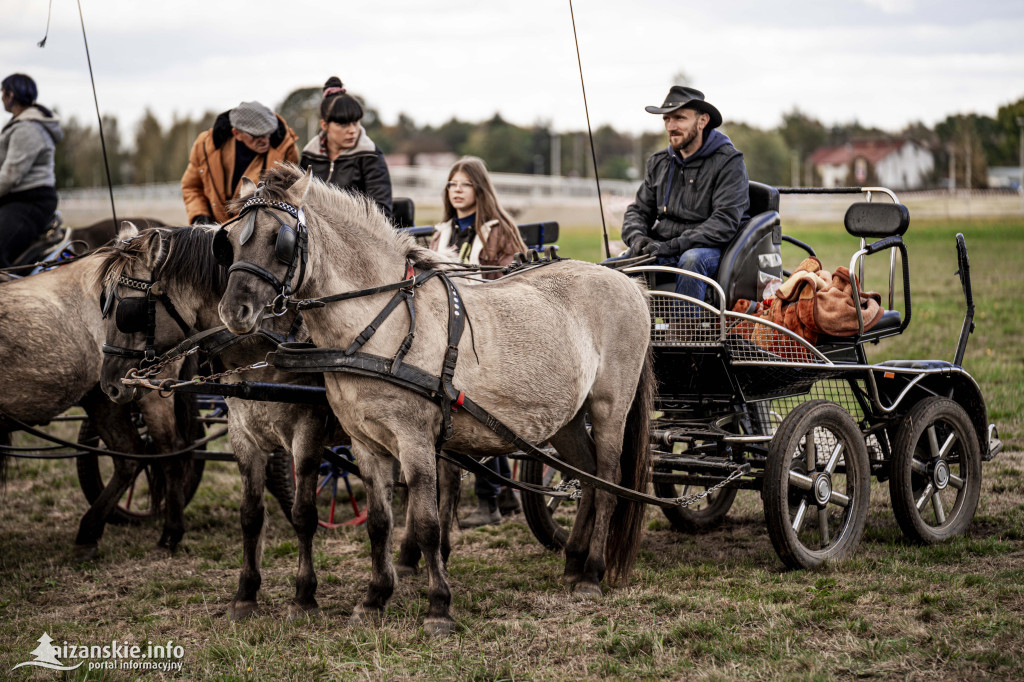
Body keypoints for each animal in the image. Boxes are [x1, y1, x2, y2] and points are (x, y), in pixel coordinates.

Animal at [0, 244, 199, 557]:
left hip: (152, 392)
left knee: (170, 452)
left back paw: (171, 532)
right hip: (104, 397)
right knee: (130, 456)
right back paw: (89, 531)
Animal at [94, 224, 462, 622]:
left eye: (126, 309)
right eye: (103, 303)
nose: (110, 384)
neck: (264, 344)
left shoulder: (307, 436)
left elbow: (303, 514)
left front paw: (303, 594)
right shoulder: (243, 436)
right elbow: (251, 515)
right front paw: (245, 594)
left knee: (446, 483)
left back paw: (436, 554)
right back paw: (410, 557)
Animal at [217, 165, 655, 638]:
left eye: (278, 239)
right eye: (231, 239)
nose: (234, 311)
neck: (380, 323)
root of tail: (626, 281)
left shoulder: (413, 440)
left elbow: (426, 523)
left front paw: (438, 607)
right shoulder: (366, 444)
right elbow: (379, 524)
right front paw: (374, 599)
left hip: (609, 408)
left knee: (609, 482)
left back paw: (592, 572)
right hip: (566, 419)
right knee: (587, 477)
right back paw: (573, 562)